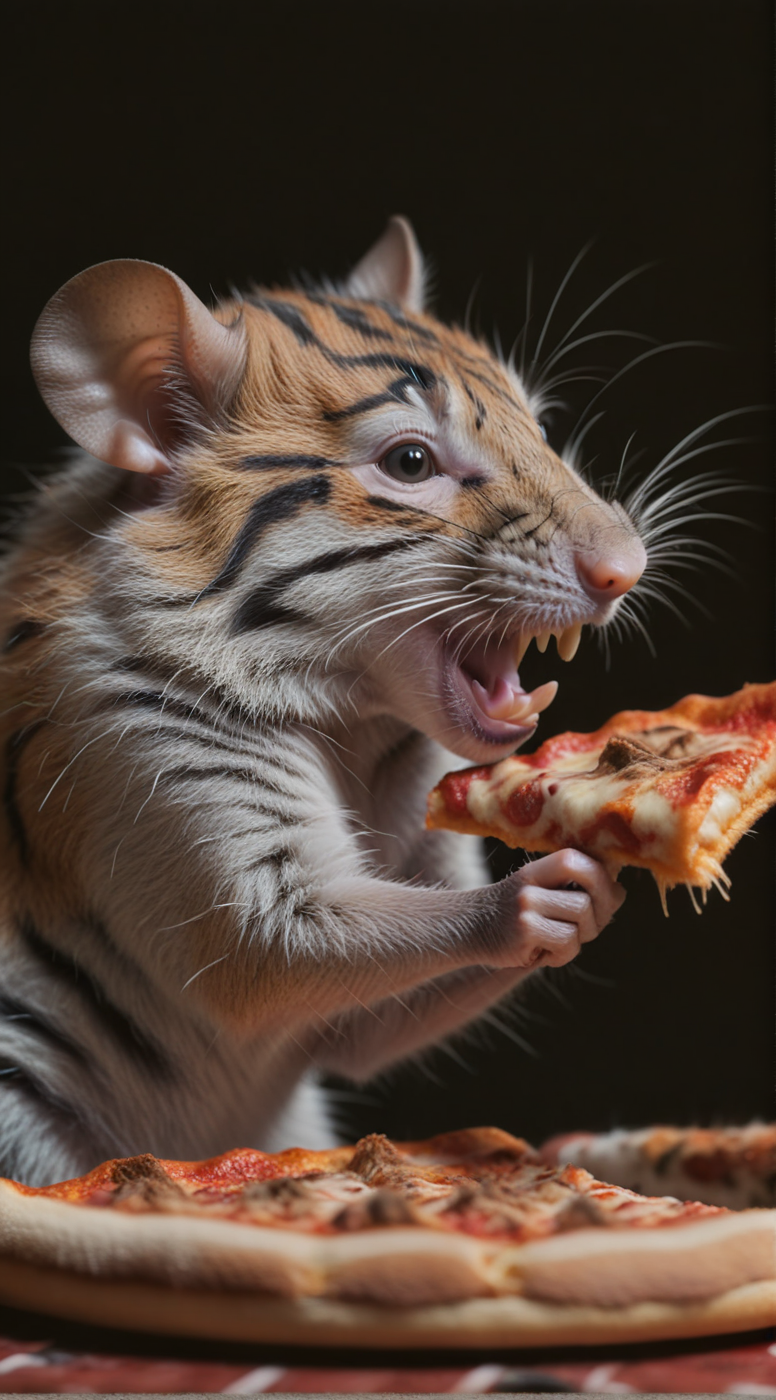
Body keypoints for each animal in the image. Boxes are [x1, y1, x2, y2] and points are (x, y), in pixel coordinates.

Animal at [0, 217, 642, 1186]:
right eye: (409, 460)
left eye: (541, 427)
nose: (628, 567)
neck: (356, 728)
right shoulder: (149, 782)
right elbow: (282, 945)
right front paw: (540, 894)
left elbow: (370, 1021)